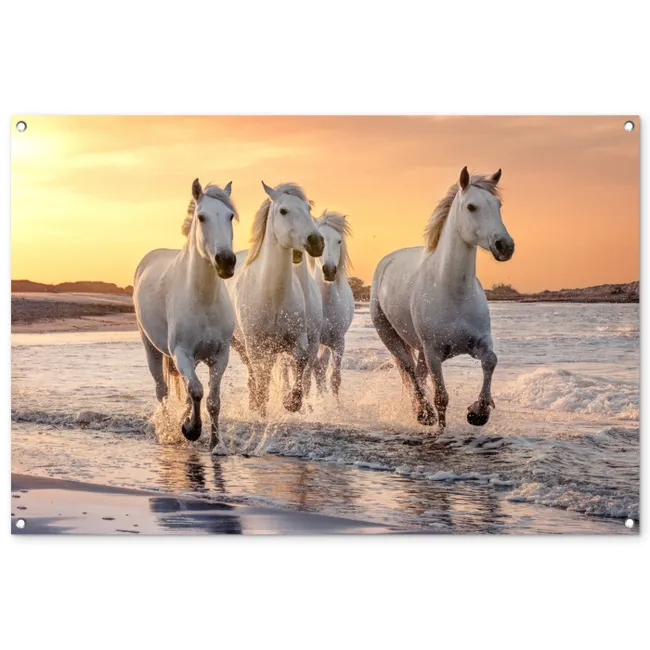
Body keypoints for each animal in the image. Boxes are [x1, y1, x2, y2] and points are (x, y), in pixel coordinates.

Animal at [133, 179, 238, 452]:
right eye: (201, 217)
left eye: (230, 216)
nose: (226, 261)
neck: (204, 300)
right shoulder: (181, 353)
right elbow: (197, 391)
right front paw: (191, 430)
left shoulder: (220, 355)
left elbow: (212, 400)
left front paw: (215, 443)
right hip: (151, 348)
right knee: (162, 391)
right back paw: (169, 429)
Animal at [227, 182, 324, 416]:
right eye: (283, 211)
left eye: (308, 209)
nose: (316, 242)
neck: (274, 297)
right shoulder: (256, 346)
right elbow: (261, 379)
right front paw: (261, 408)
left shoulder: (298, 340)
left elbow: (300, 362)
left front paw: (291, 402)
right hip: (240, 344)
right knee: (254, 373)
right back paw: (254, 403)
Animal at [370, 167, 514, 429]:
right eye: (471, 207)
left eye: (498, 204)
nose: (505, 246)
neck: (453, 292)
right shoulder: (434, 353)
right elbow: (441, 398)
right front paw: (441, 427)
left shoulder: (479, 343)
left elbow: (491, 361)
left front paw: (479, 412)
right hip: (391, 336)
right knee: (409, 370)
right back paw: (423, 413)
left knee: (417, 373)